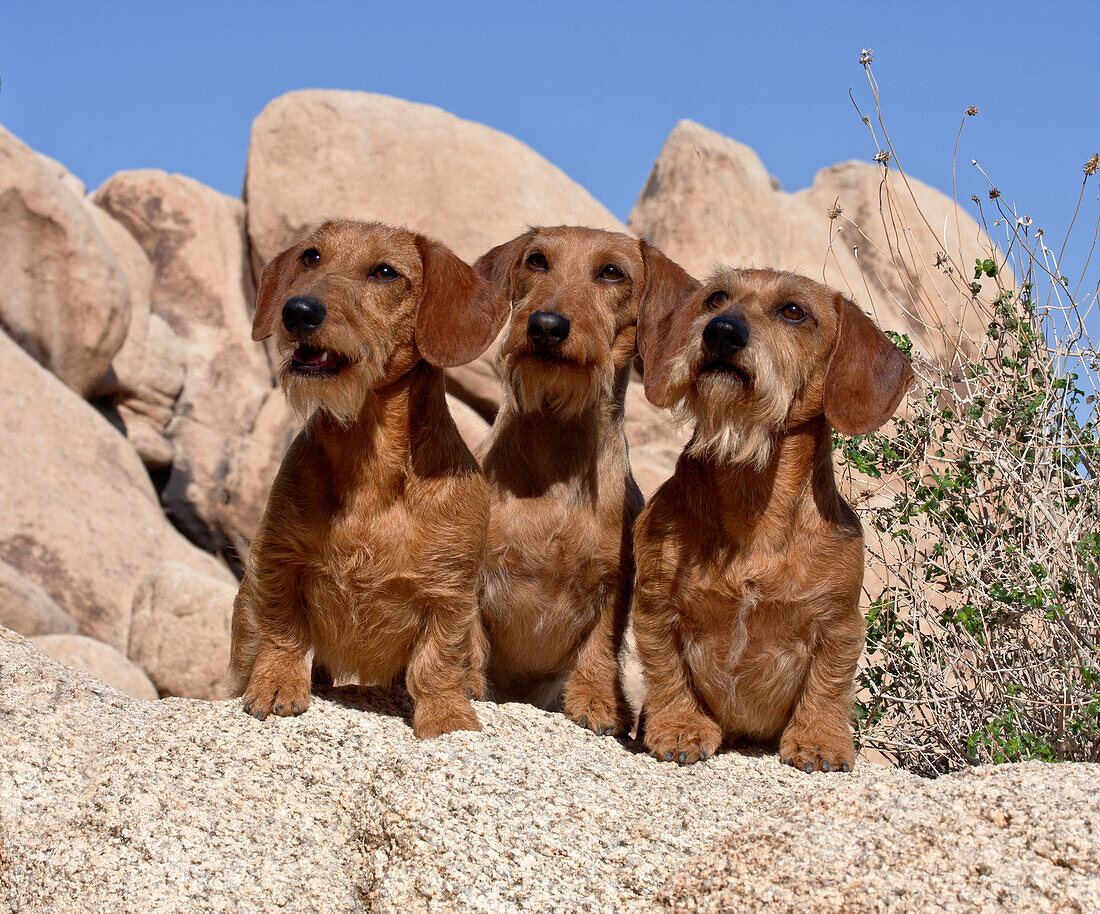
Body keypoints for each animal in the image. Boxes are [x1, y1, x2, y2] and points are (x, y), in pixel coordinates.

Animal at [234, 217, 508, 739]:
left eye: (385, 272)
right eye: (311, 257)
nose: (297, 311)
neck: (371, 466)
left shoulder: (450, 593)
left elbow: (438, 662)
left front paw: (448, 716)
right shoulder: (276, 562)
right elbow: (282, 631)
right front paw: (276, 684)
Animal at [473, 225, 695, 734]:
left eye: (611, 271)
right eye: (536, 260)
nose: (545, 325)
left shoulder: (614, 581)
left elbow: (600, 646)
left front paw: (596, 702)